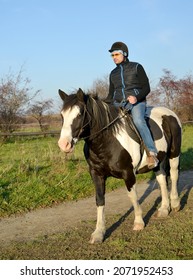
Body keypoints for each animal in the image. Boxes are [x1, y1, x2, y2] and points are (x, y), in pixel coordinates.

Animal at [57, 88, 181, 243]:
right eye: (62, 115)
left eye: (79, 113)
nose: (64, 144)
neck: (107, 141)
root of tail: (169, 112)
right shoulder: (96, 174)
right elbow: (100, 200)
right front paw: (99, 233)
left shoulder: (128, 173)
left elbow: (133, 196)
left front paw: (139, 222)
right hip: (158, 160)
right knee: (162, 180)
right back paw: (164, 209)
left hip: (174, 154)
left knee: (174, 175)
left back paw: (175, 204)